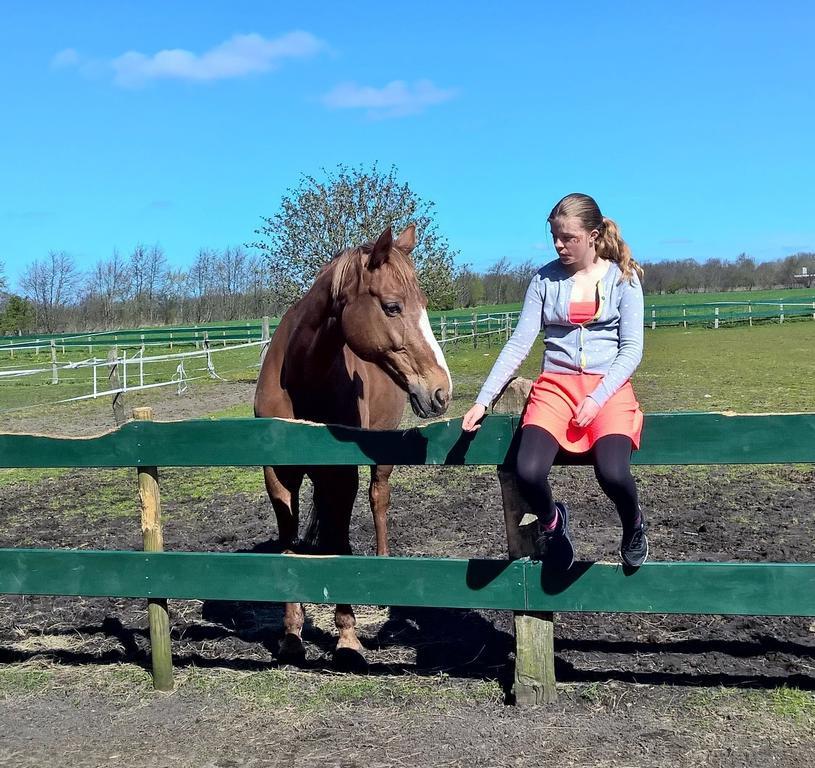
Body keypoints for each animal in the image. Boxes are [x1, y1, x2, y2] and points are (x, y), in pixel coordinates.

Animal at [255, 222, 452, 660]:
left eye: (424, 303)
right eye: (393, 306)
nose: (441, 391)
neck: (301, 376)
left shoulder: (342, 472)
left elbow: (341, 538)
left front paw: (347, 637)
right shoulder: (278, 474)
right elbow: (289, 542)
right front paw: (291, 634)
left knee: (378, 500)